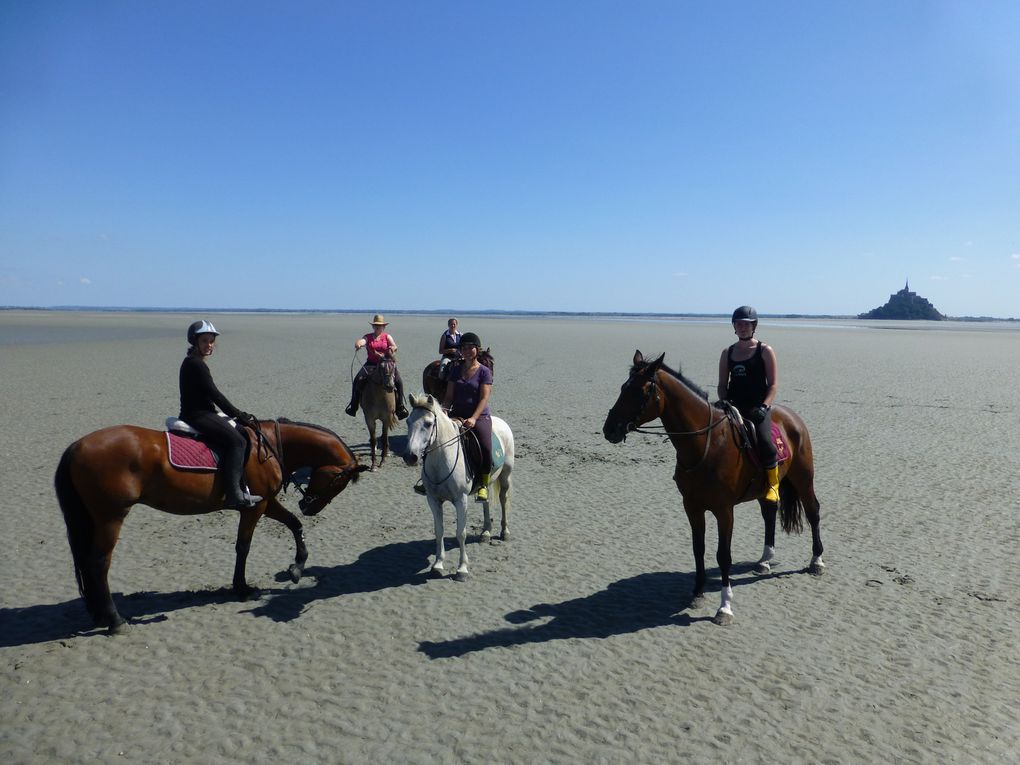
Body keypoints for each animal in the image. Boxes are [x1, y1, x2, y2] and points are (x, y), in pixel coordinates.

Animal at [53, 420, 369, 636]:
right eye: (338, 482)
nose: (310, 507)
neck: (267, 445)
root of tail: (76, 447)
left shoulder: (267, 502)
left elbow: (294, 524)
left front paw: (297, 567)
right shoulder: (254, 507)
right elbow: (244, 546)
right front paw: (242, 588)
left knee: (88, 564)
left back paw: (100, 615)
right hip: (110, 517)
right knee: (98, 564)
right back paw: (115, 620)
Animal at [401, 395, 514, 579]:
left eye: (428, 423)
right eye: (408, 421)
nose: (410, 456)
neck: (441, 460)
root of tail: (500, 421)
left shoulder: (461, 500)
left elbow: (461, 533)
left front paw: (462, 569)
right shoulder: (433, 500)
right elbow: (438, 530)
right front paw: (438, 565)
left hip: (505, 475)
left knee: (503, 500)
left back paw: (505, 532)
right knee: (486, 501)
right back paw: (486, 532)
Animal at [599, 350, 824, 624]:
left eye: (640, 392)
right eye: (623, 388)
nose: (610, 429)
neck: (706, 445)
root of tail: (792, 417)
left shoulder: (724, 510)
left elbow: (723, 555)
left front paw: (724, 607)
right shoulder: (692, 506)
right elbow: (699, 549)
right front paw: (697, 593)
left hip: (803, 478)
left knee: (813, 511)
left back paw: (817, 561)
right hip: (766, 488)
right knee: (770, 512)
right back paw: (764, 560)